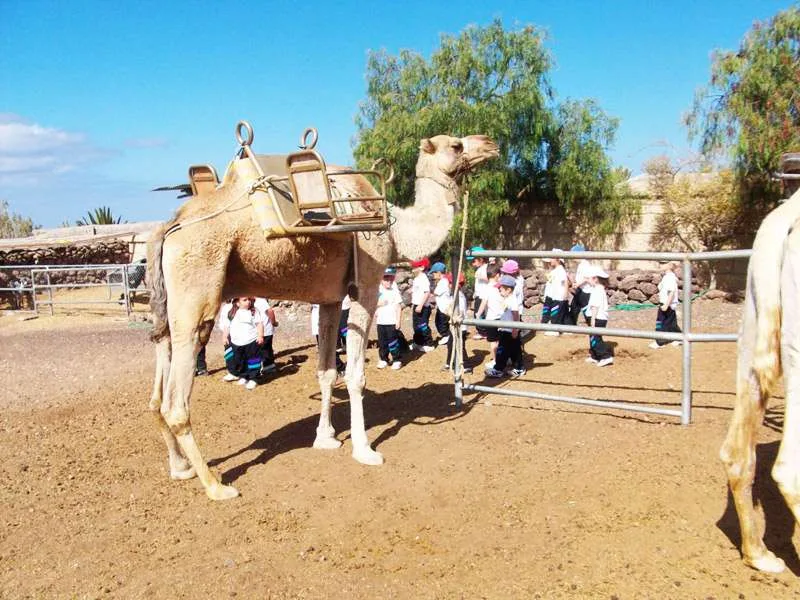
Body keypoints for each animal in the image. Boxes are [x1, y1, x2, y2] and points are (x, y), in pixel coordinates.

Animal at [147, 128, 499, 500]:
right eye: (456, 146)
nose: (491, 144)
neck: (395, 229)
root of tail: (169, 227)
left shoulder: (329, 298)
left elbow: (327, 372)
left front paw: (326, 437)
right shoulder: (366, 284)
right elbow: (356, 374)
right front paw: (364, 449)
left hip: (168, 306)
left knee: (157, 385)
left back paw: (180, 467)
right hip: (197, 289)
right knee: (176, 401)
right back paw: (216, 486)